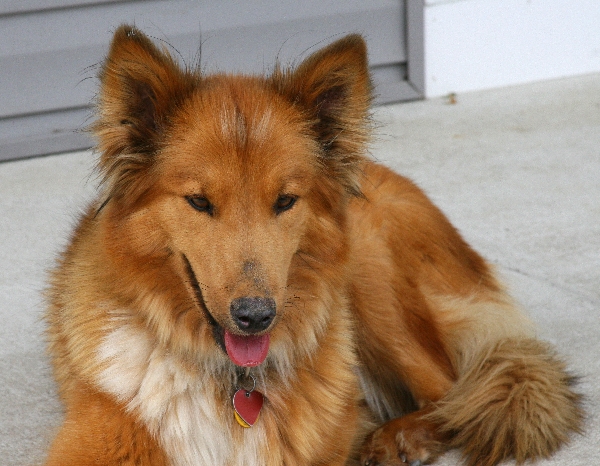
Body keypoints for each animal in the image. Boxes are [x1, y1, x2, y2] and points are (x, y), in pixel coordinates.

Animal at [44, 26, 584, 466]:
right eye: (198, 201)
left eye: (285, 200)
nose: (255, 317)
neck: (233, 383)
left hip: (370, 272)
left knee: (452, 391)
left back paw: (400, 438)